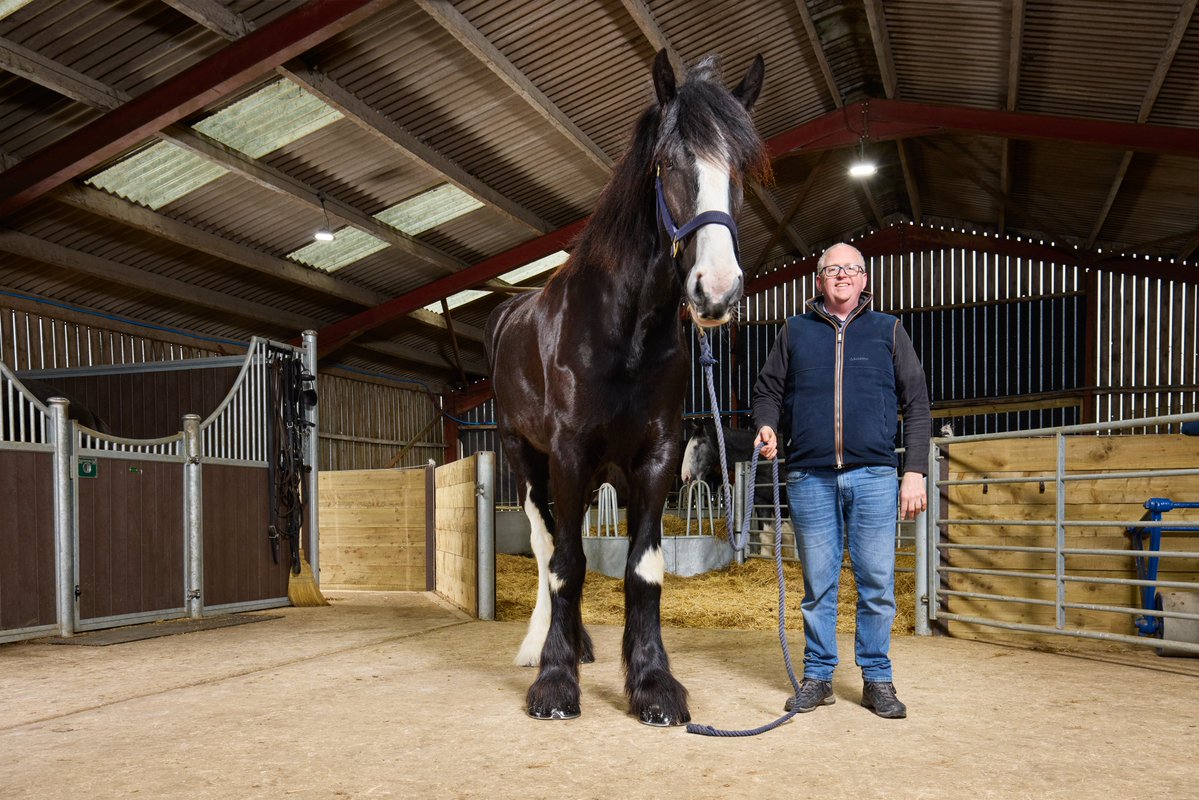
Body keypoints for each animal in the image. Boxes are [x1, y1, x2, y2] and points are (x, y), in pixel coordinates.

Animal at [484, 50, 768, 726]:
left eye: (739, 169)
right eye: (669, 165)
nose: (716, 290)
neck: (624, 330)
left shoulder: (657, 457)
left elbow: (642, 568)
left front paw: (653, 683)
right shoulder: (568, 454)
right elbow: (566, 564)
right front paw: (554, 681)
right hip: (526, 459)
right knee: (544, 545)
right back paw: (538, 645)